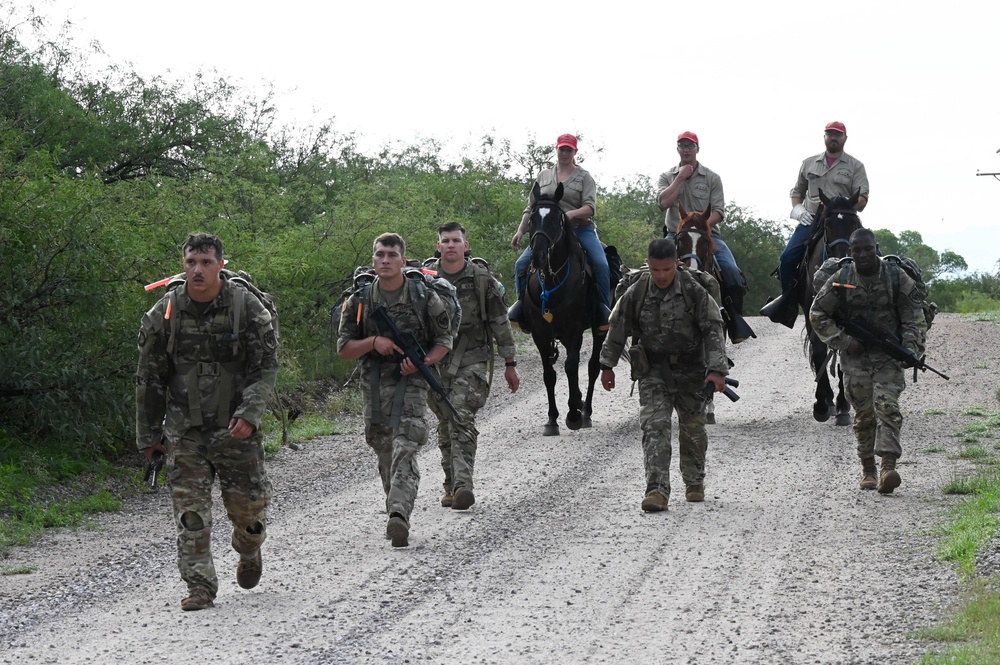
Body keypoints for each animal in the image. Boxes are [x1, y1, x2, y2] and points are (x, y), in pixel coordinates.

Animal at [520, 179, 604, 436]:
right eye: (532, 219)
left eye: (557, 219)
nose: (538, 256)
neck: (551, 283)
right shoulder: (540, 334)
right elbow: (549, 374)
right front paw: (551, 419)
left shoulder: (575, 330)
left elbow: (570, 367)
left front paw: (573, 413)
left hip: (599, 329)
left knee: (592, 367)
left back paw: (585, 411)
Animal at [800, 189, 864, 422]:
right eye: (827, 224)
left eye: (854, 223)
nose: (843, 259)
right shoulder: (811, 311)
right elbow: (819, 352)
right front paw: (821, 404)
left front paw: (843, 405)